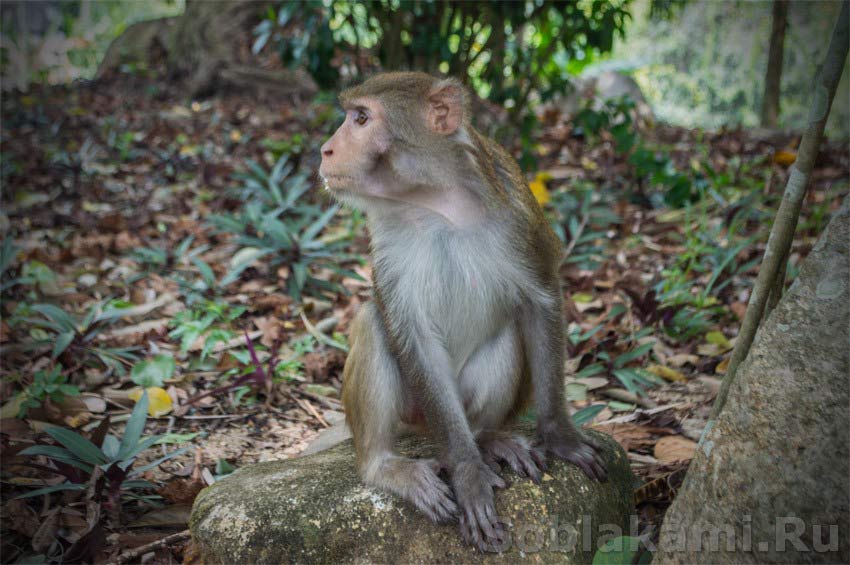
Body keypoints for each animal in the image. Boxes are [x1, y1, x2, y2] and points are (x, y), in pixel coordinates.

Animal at [316, 71, 604, 552]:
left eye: (361, 118)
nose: (326, 149)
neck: (436, 202)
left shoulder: (518, 213)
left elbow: (540, 300)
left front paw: (558, 435)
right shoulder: (386, 237)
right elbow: (411, 335)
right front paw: (468, 474)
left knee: (506, 334)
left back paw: (488, 439)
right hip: (419, 413)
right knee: (374, 325)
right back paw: (385, 466)